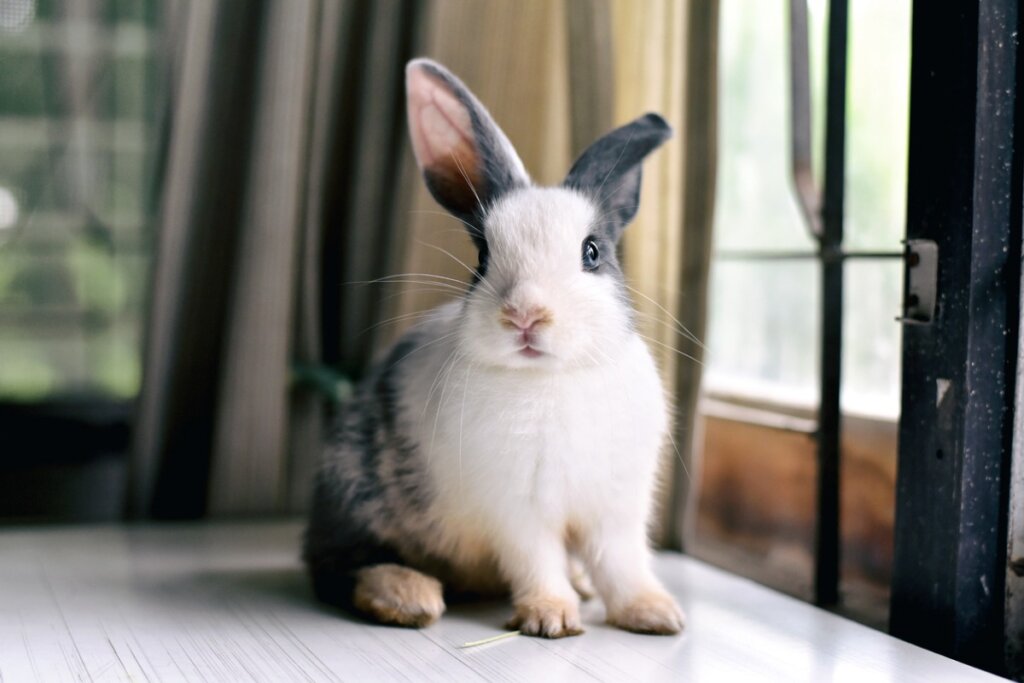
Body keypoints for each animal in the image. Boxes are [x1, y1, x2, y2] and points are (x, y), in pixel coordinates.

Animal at [303, 57, 684, 639]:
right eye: (482, 257)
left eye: (592, 252)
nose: (525, 315)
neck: (551, 378)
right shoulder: (517, 510)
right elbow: (537, 560)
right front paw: (551, 618)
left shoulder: (616, 508)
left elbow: (622, 563)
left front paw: (656, 614)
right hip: (354, 492)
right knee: (337, 566)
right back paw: (408, 595)